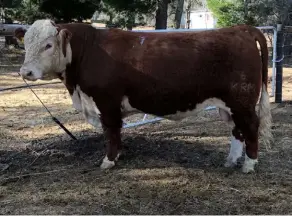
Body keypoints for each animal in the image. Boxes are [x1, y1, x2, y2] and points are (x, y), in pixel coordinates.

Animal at [15, 19, 272, 173]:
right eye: (25, 43)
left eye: (48, 45)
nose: (25, 72)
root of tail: (241, 29)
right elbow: (116, 132)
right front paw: (117, 156)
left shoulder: (106, 102)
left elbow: (111, 132)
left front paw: (108, 161)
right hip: (229, 105)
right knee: (237, 131)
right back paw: (231, 161)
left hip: (242, 102)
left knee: (251, 127)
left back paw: (249, 165)